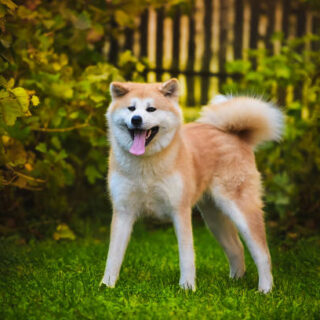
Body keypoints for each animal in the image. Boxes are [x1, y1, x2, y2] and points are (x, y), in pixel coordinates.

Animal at [101, 79, 284, 294]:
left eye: (151, 109)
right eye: (131, 108)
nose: (136, 119)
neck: (146, 165)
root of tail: (236, 136)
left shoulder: (179, 211)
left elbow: (186, 256)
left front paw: (187, 287)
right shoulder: (123, 211)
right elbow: (113, 256)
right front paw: (106, 285)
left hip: (241, 211)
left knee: (263, 253)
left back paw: (265, 289)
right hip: (214, 218)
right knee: (237, 248)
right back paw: (235, 281)